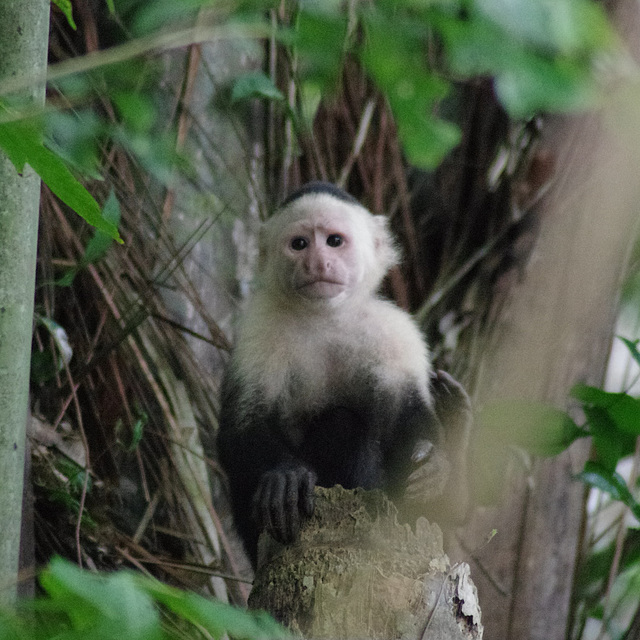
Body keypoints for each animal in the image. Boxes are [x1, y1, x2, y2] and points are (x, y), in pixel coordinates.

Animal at [218, 181, 472, 564]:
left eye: (334, 241)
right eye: (299, 244)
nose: (317, 262)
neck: (325, 317)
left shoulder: (397, 333)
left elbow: (408, 414)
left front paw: (434, 469)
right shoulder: (257, 330)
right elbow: (240, 426)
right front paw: (283, 476)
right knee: (342, 424)